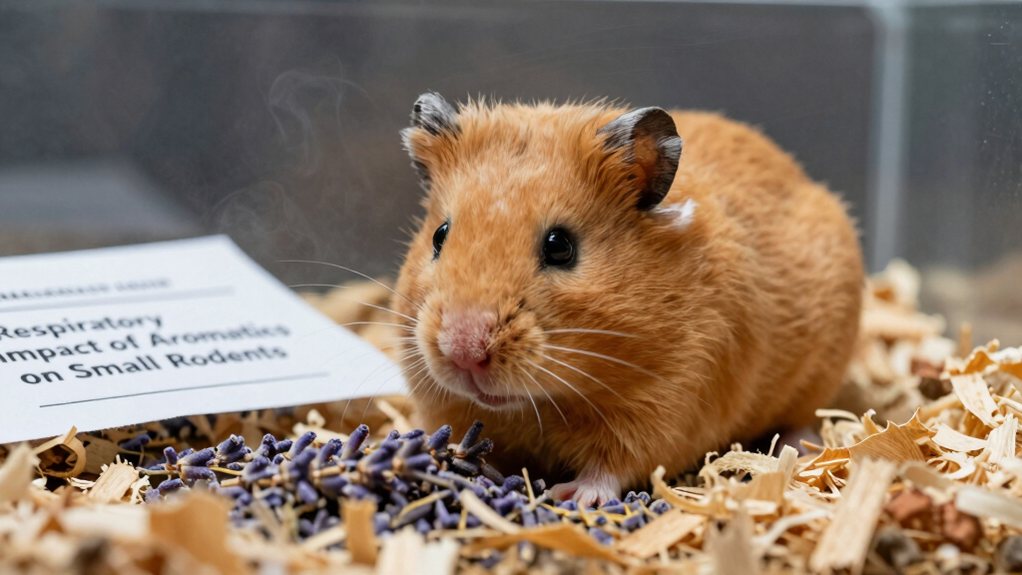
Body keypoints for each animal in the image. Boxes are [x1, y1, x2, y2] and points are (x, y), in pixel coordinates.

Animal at [392, 92, 863, 506]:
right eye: (439, 236)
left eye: (560, 247)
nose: (463, 352)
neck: (542, 403)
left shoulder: (667, 404)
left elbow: (614, 464)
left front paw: (573, 496)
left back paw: (802, 448)